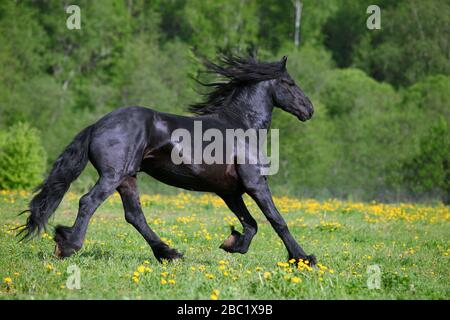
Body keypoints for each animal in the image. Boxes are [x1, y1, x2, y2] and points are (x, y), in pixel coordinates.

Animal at [19, 55, 314, 264]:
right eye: (289, 83)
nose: (309, 110)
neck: (241, 126)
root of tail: (97, 125)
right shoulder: (255, 183)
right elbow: (276, 220)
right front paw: (303, 259)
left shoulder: (229, 191)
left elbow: (250, 224)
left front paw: (231, 244)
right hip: (113, 176)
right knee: (88, 202)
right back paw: (68, 245)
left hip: (128, 178)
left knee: (134, 216)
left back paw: (168, 253)